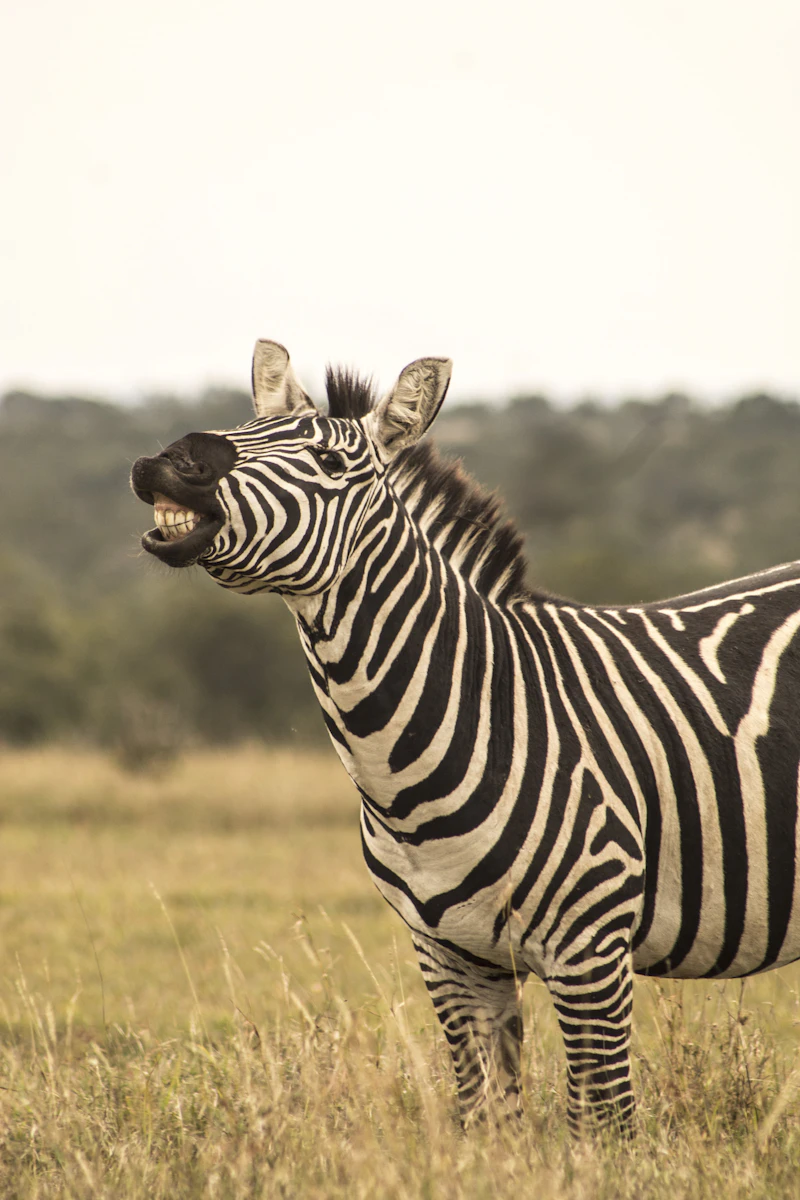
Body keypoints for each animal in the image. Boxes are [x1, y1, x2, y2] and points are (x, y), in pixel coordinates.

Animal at [131, 339, 800, 1134]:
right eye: (243, 427)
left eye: (328, 462)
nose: (174, 460)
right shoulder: (452, 960)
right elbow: (486, 1120)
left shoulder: (593, 953)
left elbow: (601, 1124)